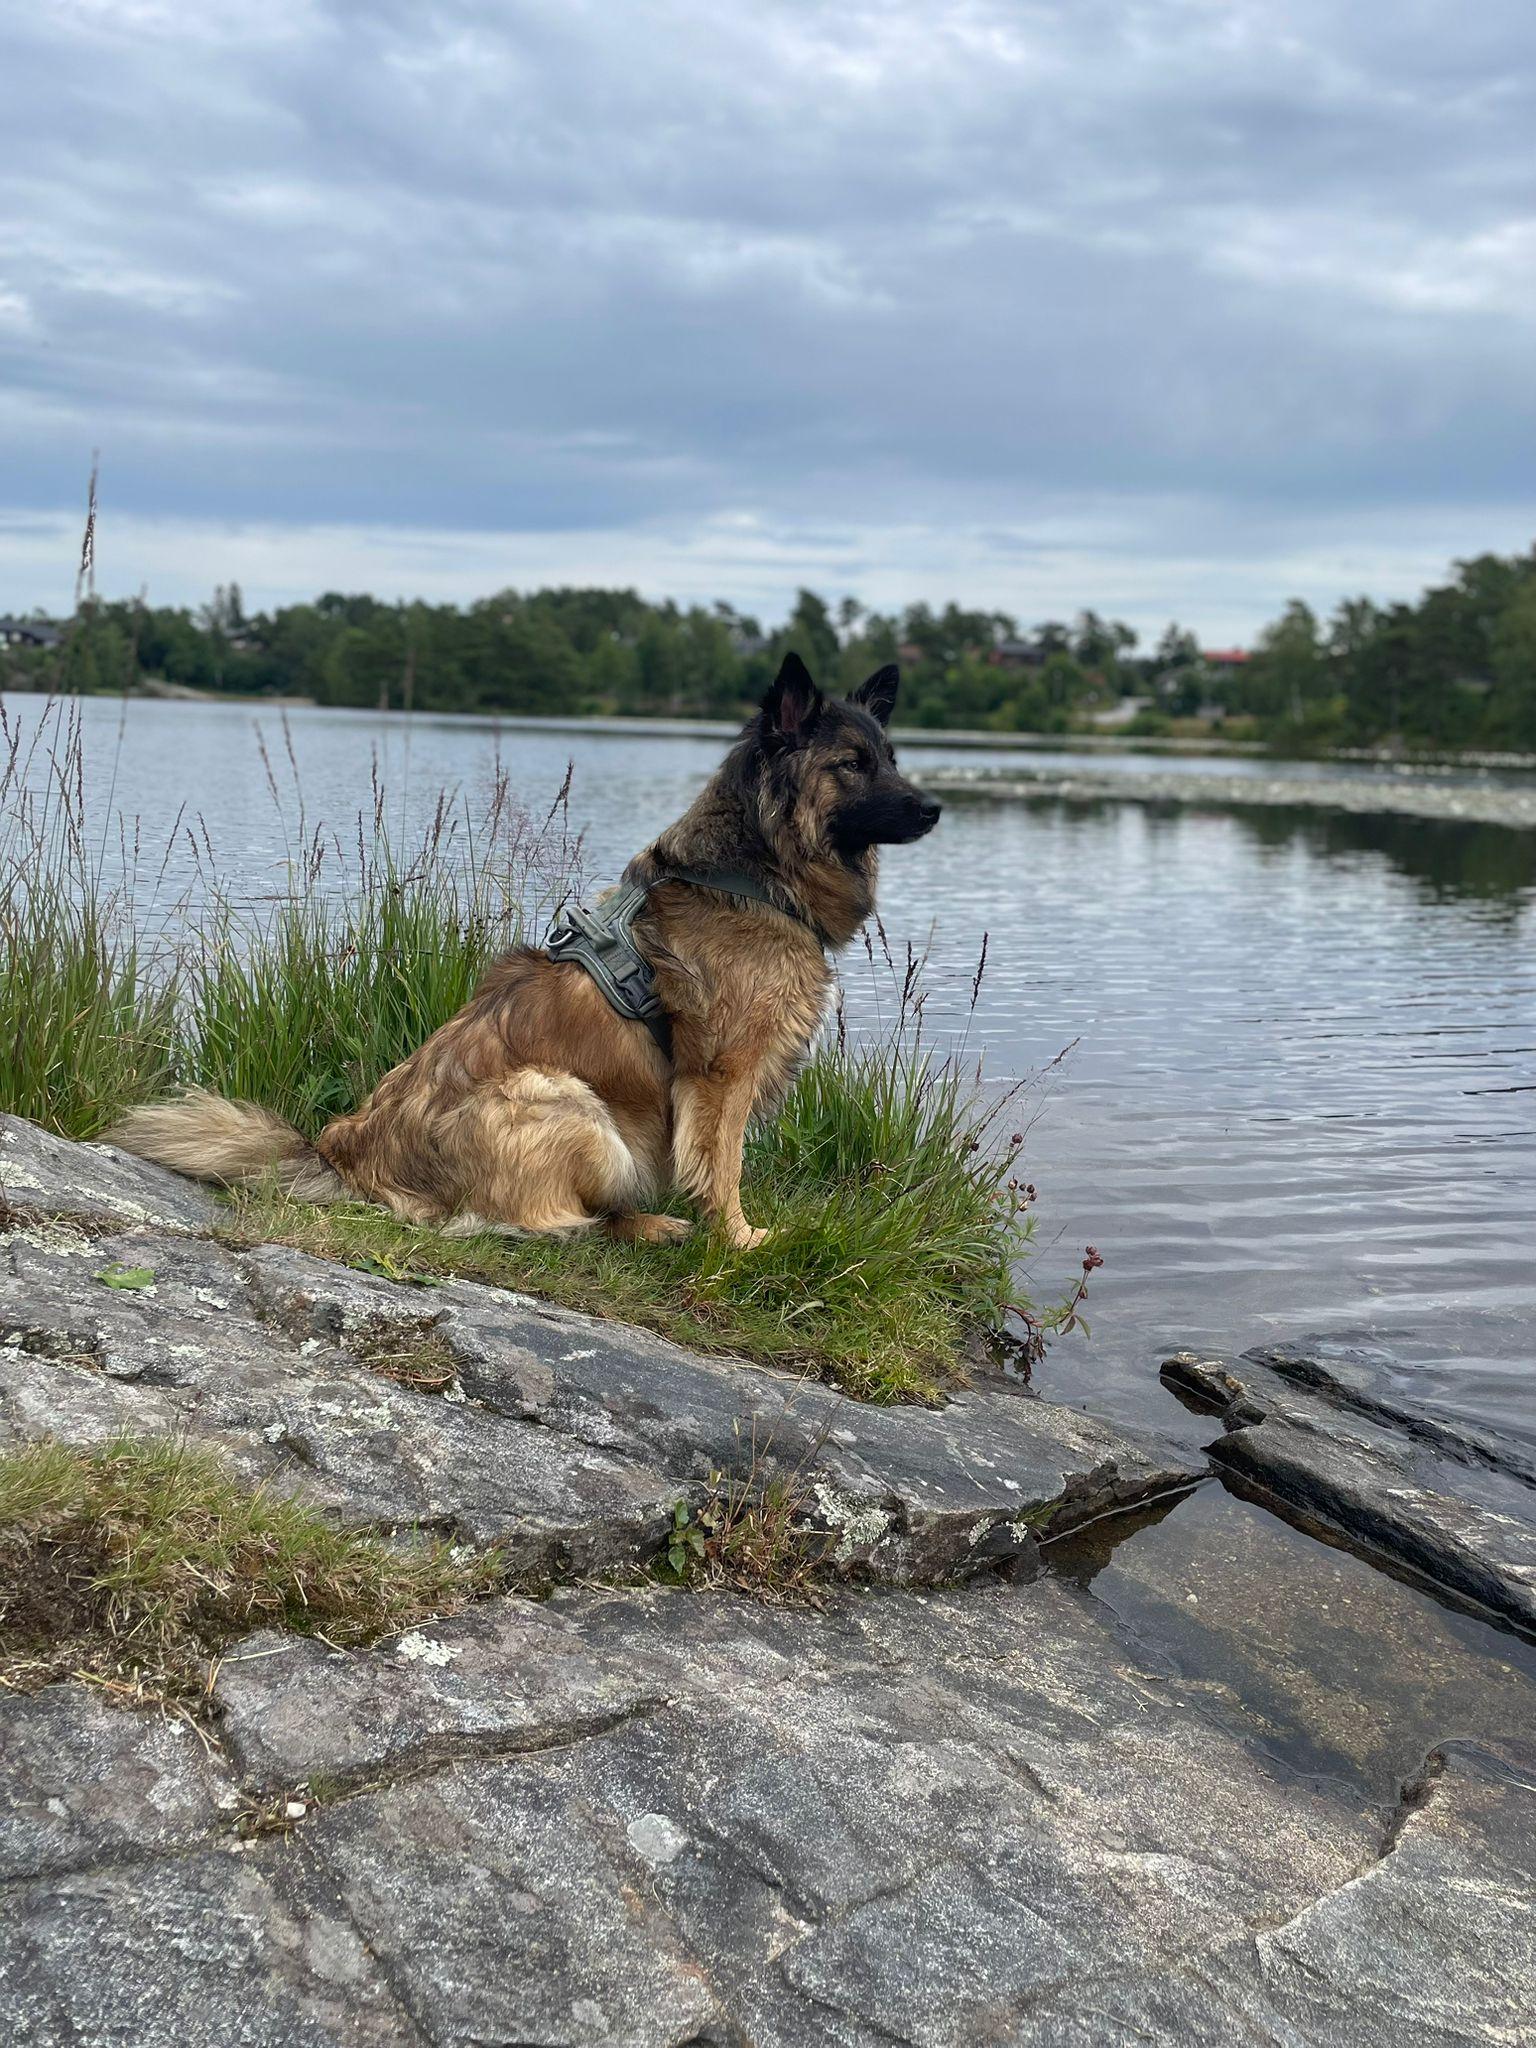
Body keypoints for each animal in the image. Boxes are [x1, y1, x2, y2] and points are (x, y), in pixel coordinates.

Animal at [107, 653, 941, 1249]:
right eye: (851, 764)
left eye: (892, 757)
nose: (935, 808)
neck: (749, 873)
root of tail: (348, 1158)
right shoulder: (721, 1074)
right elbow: (722, 1167)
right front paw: (738, 1239)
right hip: (570, 1101)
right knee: (554, 1224)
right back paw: (648, 1225)